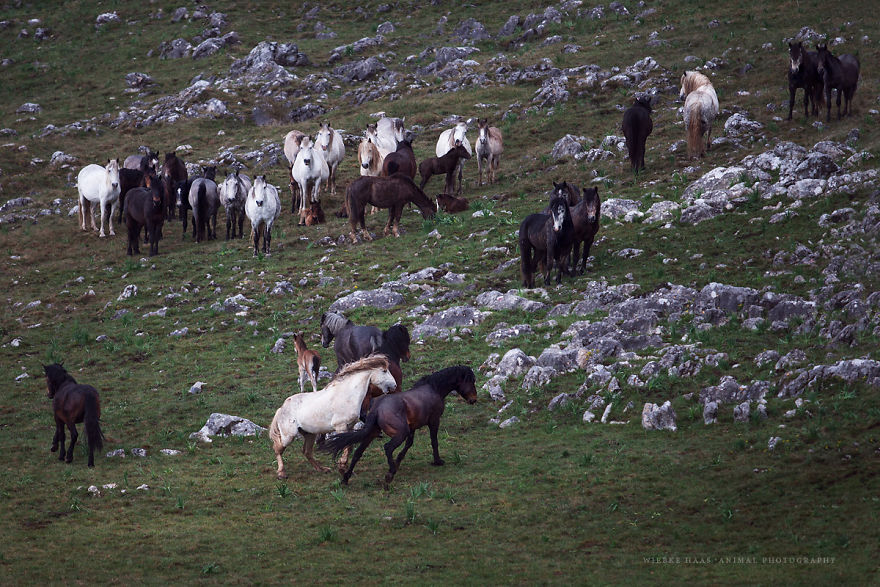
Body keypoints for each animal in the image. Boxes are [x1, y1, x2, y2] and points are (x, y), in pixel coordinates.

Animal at [322, 365, 477, 488]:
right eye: (471, 381)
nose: (473, 400)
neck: (434, 389)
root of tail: (377, 408)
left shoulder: (412, 427)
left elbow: (409, 444)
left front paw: (398, 461)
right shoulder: (434, 421)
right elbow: (434, 441)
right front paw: (437, 461)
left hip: (373, 433)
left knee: (358, 453)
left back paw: (346, 478)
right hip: (399, 433)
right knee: (387, 448)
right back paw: (390, 475)